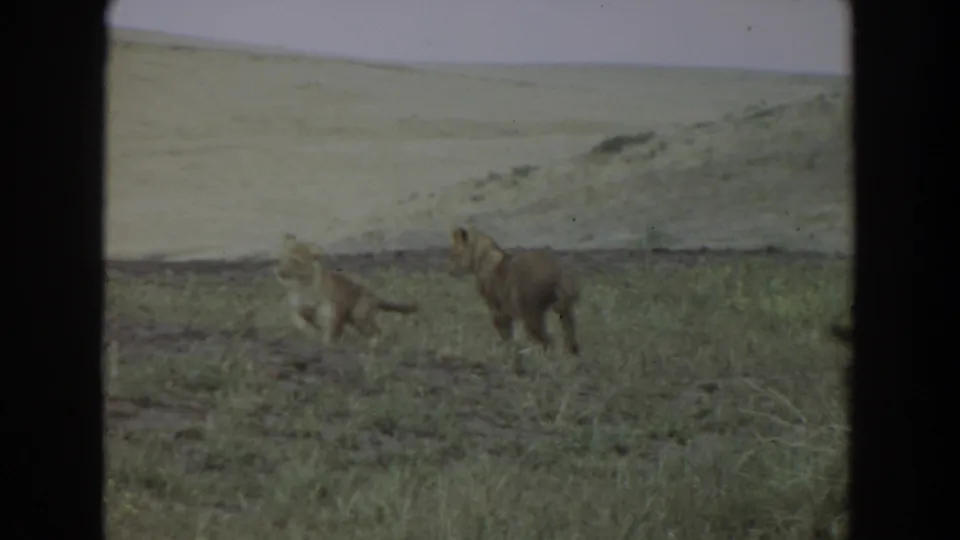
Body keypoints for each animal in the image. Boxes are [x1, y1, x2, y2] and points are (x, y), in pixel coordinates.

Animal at [274, 233, 418, 346]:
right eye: (281, 257)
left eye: (296, 260)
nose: (280, 272)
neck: (303, 287)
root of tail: (375, 295)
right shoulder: (297, 309)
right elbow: (300, 323)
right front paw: (309, 336)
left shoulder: (327, 312)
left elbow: (325, 335)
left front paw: (324, 346)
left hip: (359, 314)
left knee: (375, 330)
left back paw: (374, 343)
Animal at [447, 226, 581, 355]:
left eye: (454, 254)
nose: (450, 271)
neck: (482, 259)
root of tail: (558, 270)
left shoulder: (498, 311)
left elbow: (505, 334)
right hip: (565, 311)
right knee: (571, 340)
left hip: (531, 314)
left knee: (548, 341)